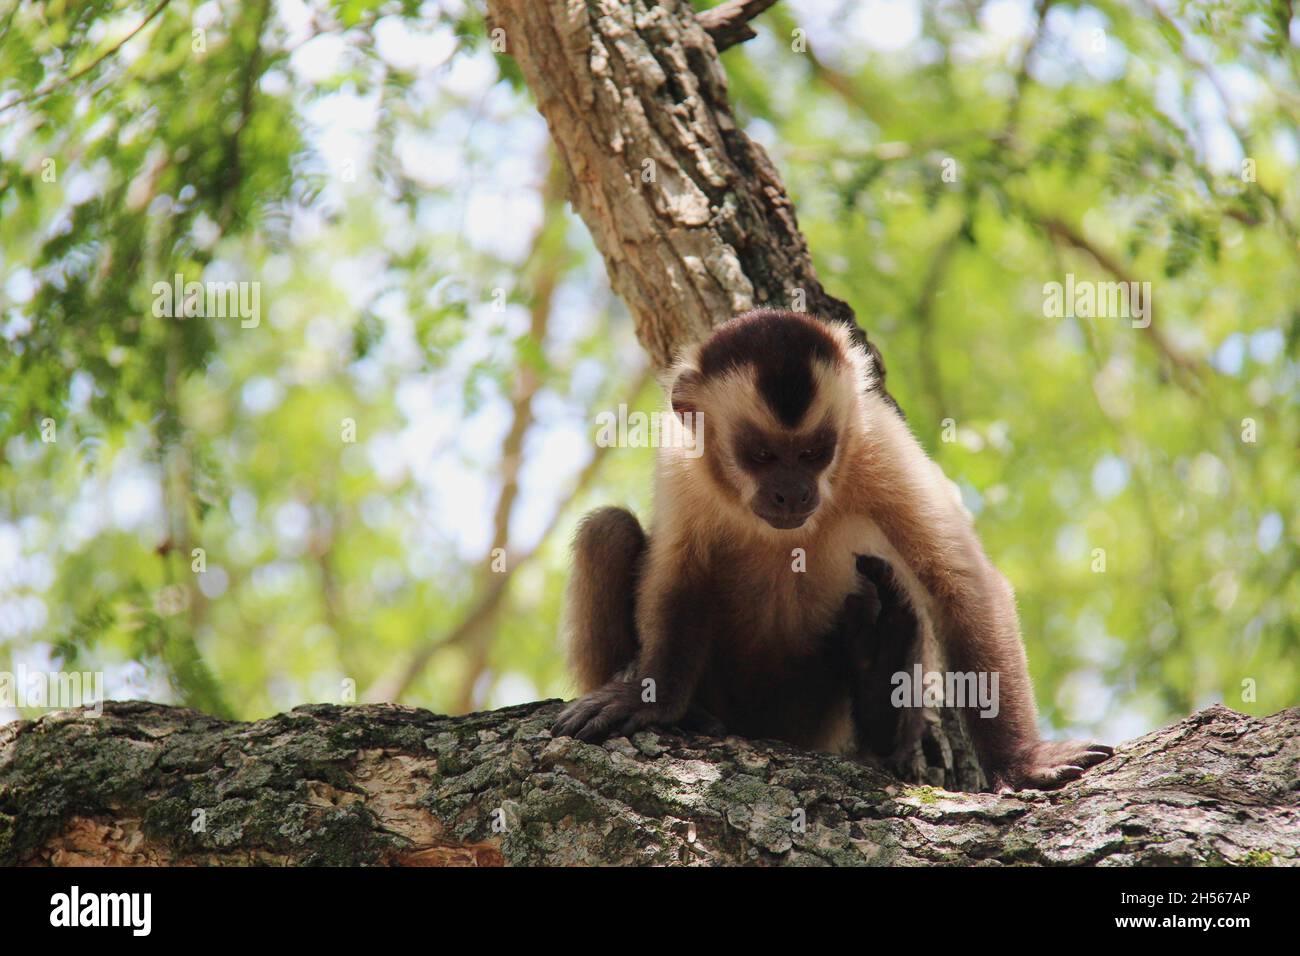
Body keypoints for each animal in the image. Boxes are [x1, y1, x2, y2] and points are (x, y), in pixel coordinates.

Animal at [553, 308, 1112, 790]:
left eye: (813, 452)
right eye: (761, 455)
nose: (792, 493)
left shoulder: (877, 441)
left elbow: (960, 582)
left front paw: (1021, 763)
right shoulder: (682, 461)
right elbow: (677, 579)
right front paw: (651, 701)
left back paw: (881, 674)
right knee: (607, 529)